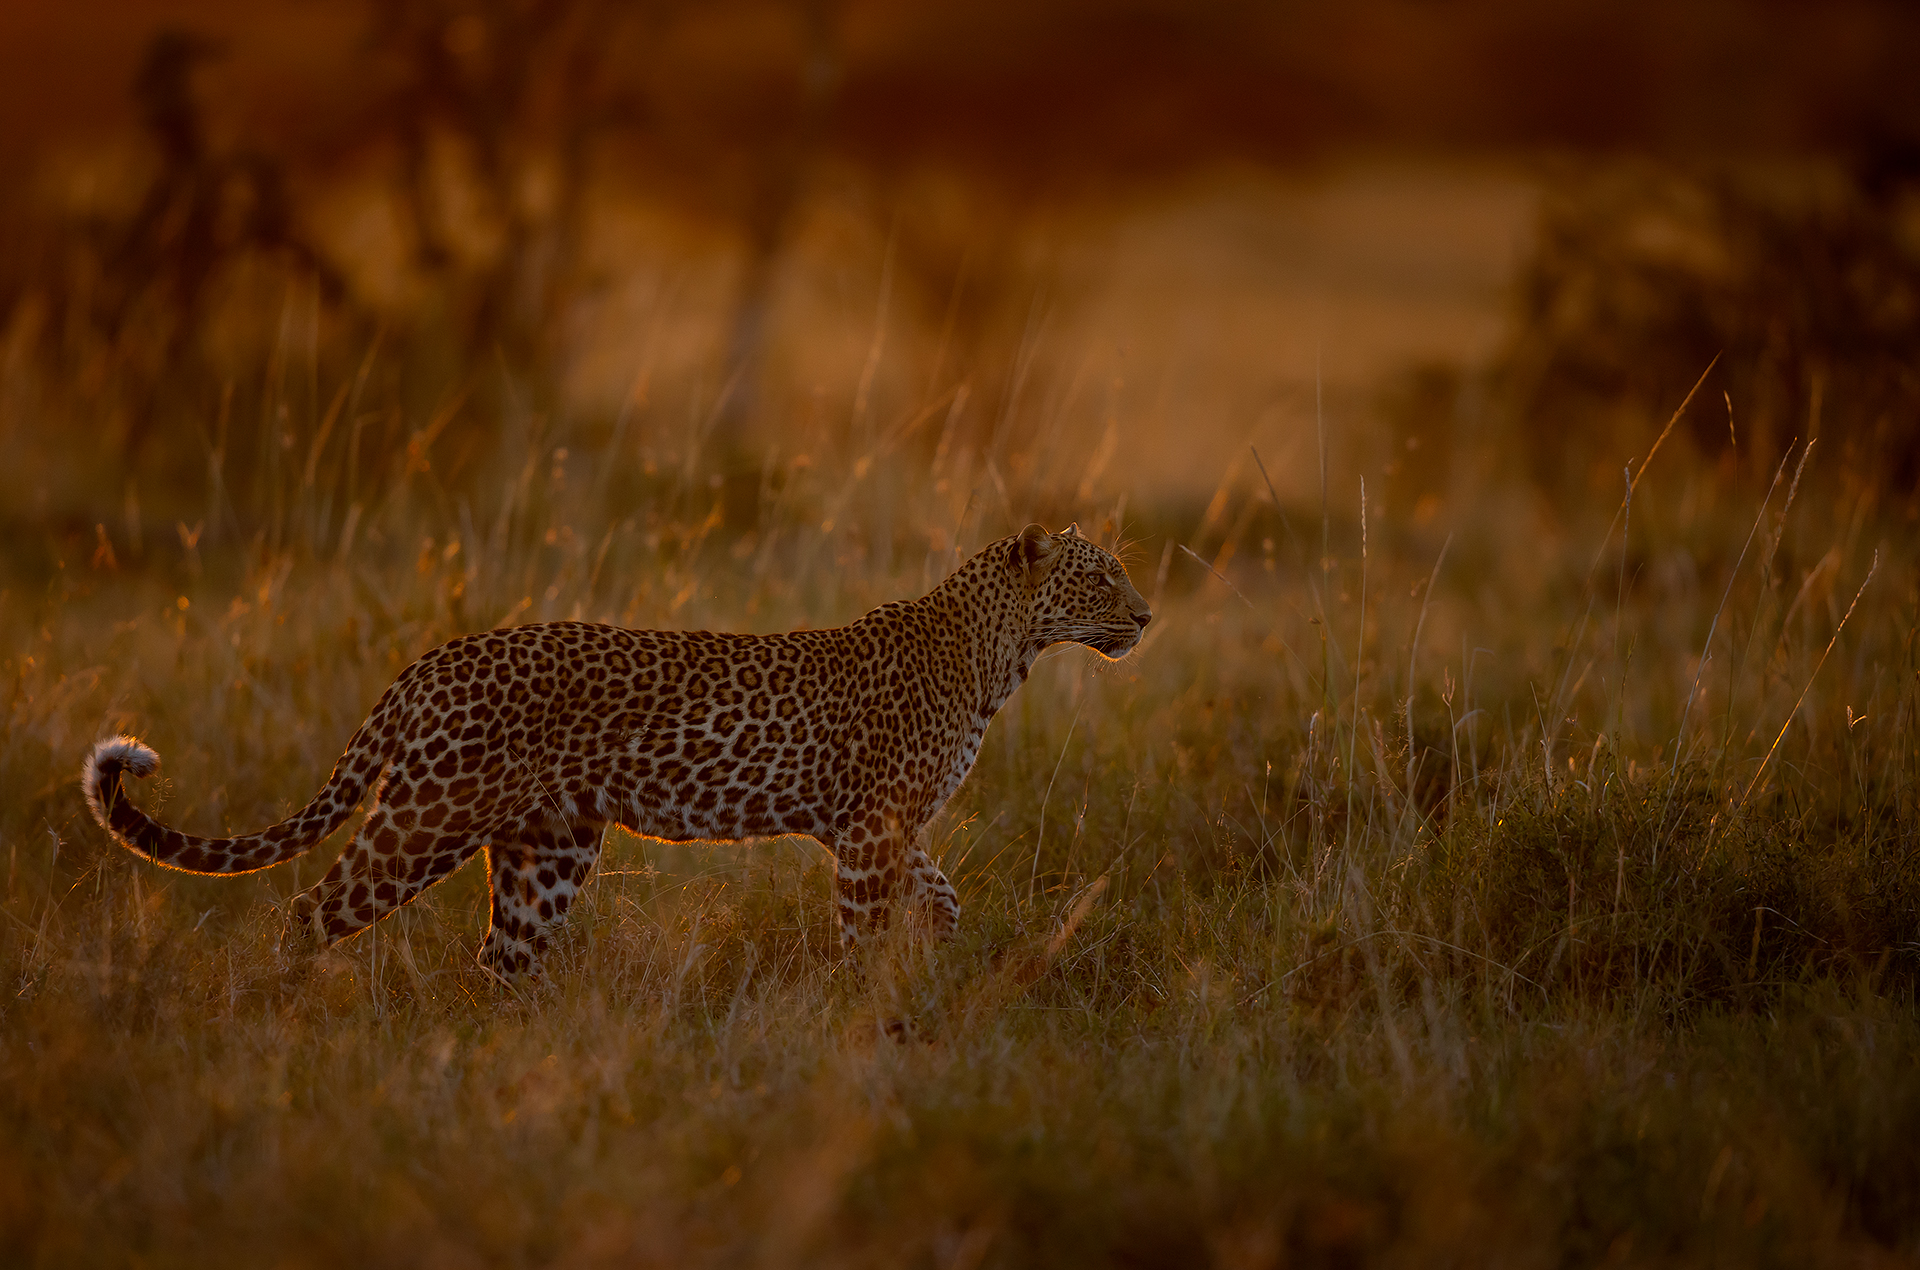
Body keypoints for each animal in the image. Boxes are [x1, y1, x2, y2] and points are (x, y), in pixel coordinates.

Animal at [82, 523, 1152, 979]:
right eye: (1102, 578)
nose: (1147, 615)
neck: (999, 653)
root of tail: (429, 663)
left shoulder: (883, 829)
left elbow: (945, 896)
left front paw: (935, 963)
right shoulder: (868, 832)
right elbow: (862, 931)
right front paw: (867, 1015)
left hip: (548, 848)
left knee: (501, 957)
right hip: (426, 819)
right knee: (305, 912)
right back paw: (278, 1015)